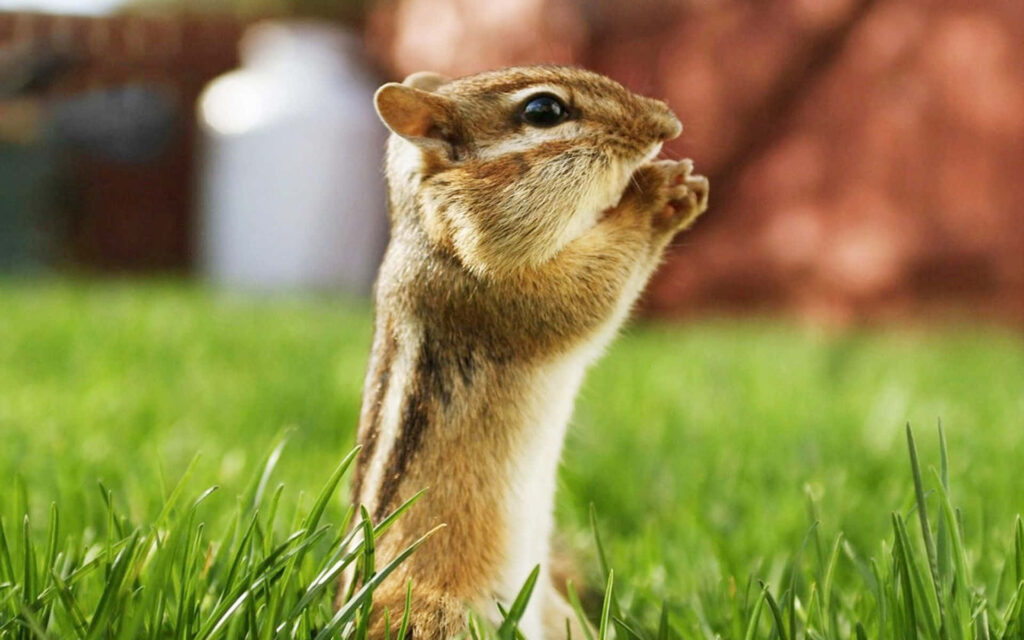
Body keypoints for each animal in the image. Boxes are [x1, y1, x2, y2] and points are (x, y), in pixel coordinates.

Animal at [343, 65, 709, 639]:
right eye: (544, 111)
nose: (667, 124)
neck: (432, 231)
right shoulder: (496, 291)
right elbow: (586, 297)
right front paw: (656, 196)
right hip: (439, 618)